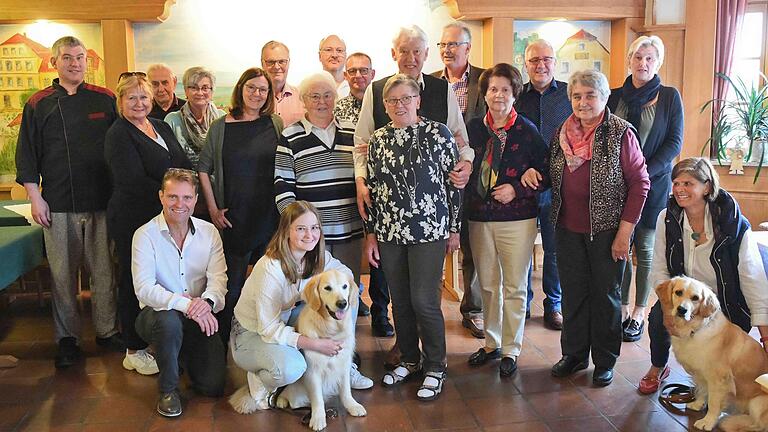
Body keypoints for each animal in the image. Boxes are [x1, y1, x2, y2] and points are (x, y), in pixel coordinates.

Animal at [276, 268, 366, 430]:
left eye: (345, 286)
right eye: (327, 288)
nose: (342, 303)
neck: (331, 330)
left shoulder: (343, 364)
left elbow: (346, 390)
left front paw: (352, 406)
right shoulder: (313, 370)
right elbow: (317, 398)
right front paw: (318, 418)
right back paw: (281, 400)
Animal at [656, 278, 768, 430]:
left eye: (695, 298)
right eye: (678, 292)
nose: (682, 310)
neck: (694, 329)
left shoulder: (718, 380)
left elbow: (714, 403)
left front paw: (707, 422)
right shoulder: (700, 374)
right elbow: (703, 392)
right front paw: (697, 405)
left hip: (758, 402)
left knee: (758, 425)